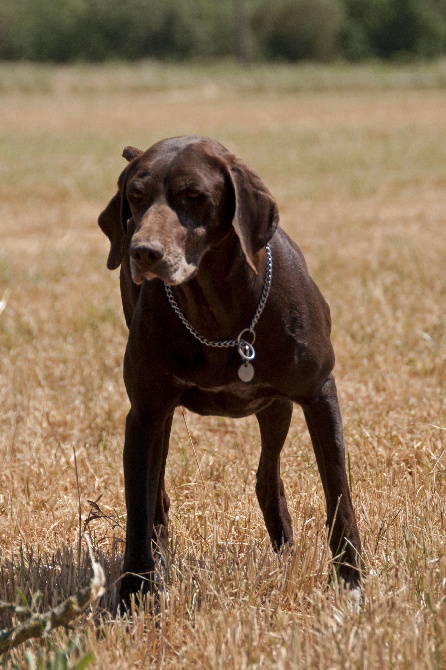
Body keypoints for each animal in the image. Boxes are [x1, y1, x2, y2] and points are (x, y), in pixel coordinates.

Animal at [97, 136, 362, 608]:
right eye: (136, 197)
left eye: (193, 196)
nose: (143, 252)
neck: (218, 310)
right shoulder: (145, 413)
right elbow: (138, 510)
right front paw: (133, 595)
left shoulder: (318, 393)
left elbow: (339, 498)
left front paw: (350, 584)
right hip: (162, 419)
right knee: (157, 494)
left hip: (275, 408)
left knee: (266, 478)